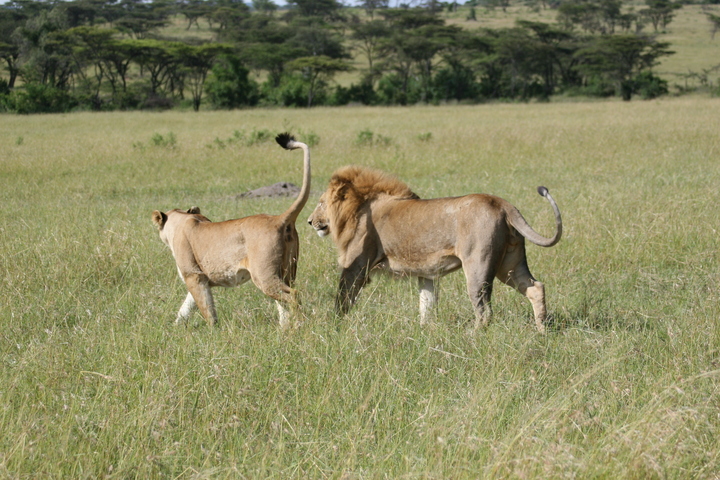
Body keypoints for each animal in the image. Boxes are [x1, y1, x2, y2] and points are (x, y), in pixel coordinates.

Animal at [151, 133, 310, 328]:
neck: (182, 219)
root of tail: (278, 218)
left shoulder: (194, 276)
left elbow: (206, 307)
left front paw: (212, 329)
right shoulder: (201, 278)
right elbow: (186, 308)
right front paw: (175, 327)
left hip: (264, 274)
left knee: (292, 295)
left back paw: (299, 326)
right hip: (287, 271)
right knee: (283, 302)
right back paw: (283, 329)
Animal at [307, 166, 562, 332]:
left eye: (321, 203)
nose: (310, 221)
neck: (359, 208)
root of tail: (502, 203)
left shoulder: (356, 266)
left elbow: (342, 299)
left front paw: (335, 325)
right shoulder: (426, 274)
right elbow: (426, 304)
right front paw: (423, 331)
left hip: (478, 265)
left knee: (484, 310)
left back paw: (473, 336)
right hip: (510, 263)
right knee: (535, 287)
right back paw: (542, 330)